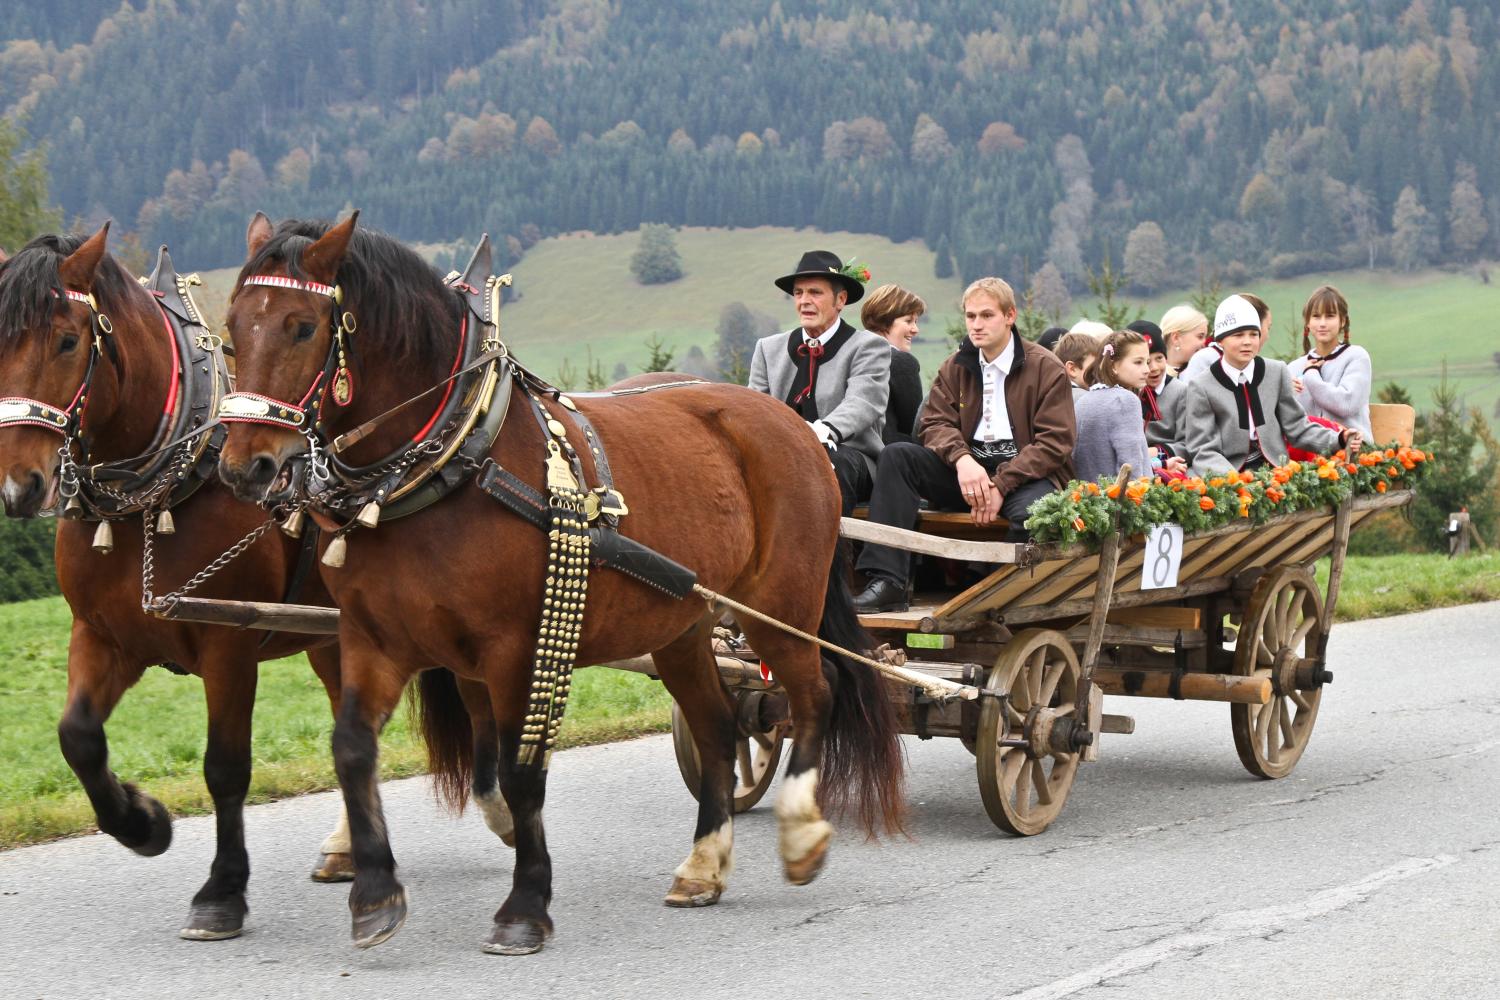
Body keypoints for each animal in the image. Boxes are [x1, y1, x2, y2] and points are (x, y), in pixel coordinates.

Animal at [0, 225, 463, 941]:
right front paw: (142, 822)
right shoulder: (103, 636)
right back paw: (347, 850)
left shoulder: (229, 646)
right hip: (335, 636)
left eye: (68, 341)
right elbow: (77, 738)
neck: (155, 491)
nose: (18, 486)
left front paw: (221, 891)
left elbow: (224, 767)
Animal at [215, 212, 905, 955]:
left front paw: (524, 905)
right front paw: (374, 893)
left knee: (813, 693)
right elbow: (351, 750)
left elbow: (521, 773)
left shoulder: (514, 649)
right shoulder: (374, 641)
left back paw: (802, 833)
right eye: (231, 326)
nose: (246, 467)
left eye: (302, 326)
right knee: (720, 727)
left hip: (779, 606)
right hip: (684, 624)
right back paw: (703, 864)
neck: (450, 465)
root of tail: (796, 428)